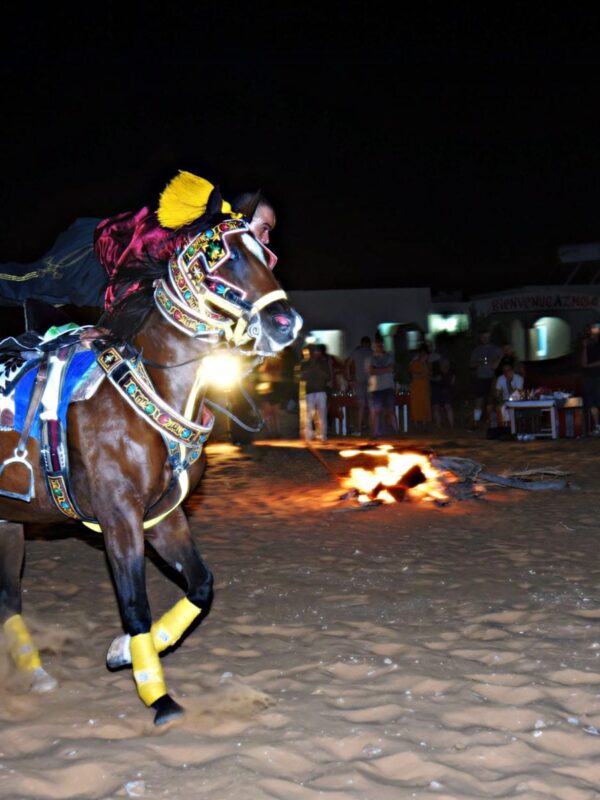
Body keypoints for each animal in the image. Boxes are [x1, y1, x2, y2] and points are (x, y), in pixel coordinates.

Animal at [0, 186, 300, 724]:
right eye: (221, 256)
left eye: (266, 253)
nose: (285, 323)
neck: (150, 389)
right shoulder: (118, 516)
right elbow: (134, 602)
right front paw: (158, 696)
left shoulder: (162, 515)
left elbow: (201, 585)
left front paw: (126, 651)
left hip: (10, 520)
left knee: (8, 600)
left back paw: (34, 674)